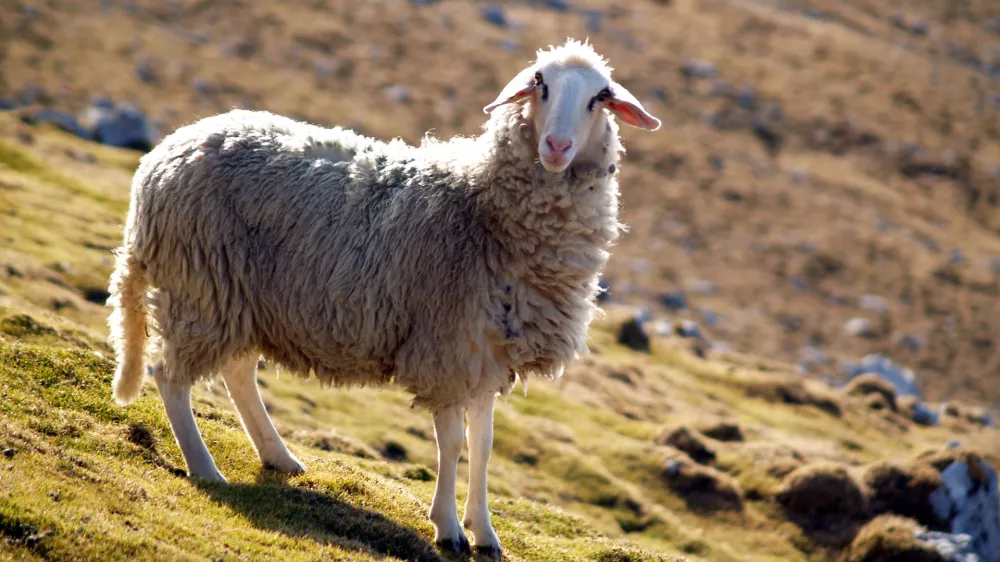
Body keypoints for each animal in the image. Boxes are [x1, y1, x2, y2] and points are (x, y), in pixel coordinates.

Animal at [105, 37, 660, 556]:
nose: (557, 146)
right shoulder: (447, 347)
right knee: (170, 375)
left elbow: (482, 445)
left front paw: (484, 532)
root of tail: (161, 155)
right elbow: (451, 442)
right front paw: (449, 528)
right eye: (540, 83)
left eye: (600, 97)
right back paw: (206, 469)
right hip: (200, 285)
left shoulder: (486, 352)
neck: (482, 206)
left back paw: (278, 456)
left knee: (238, 373)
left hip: (243, 298)